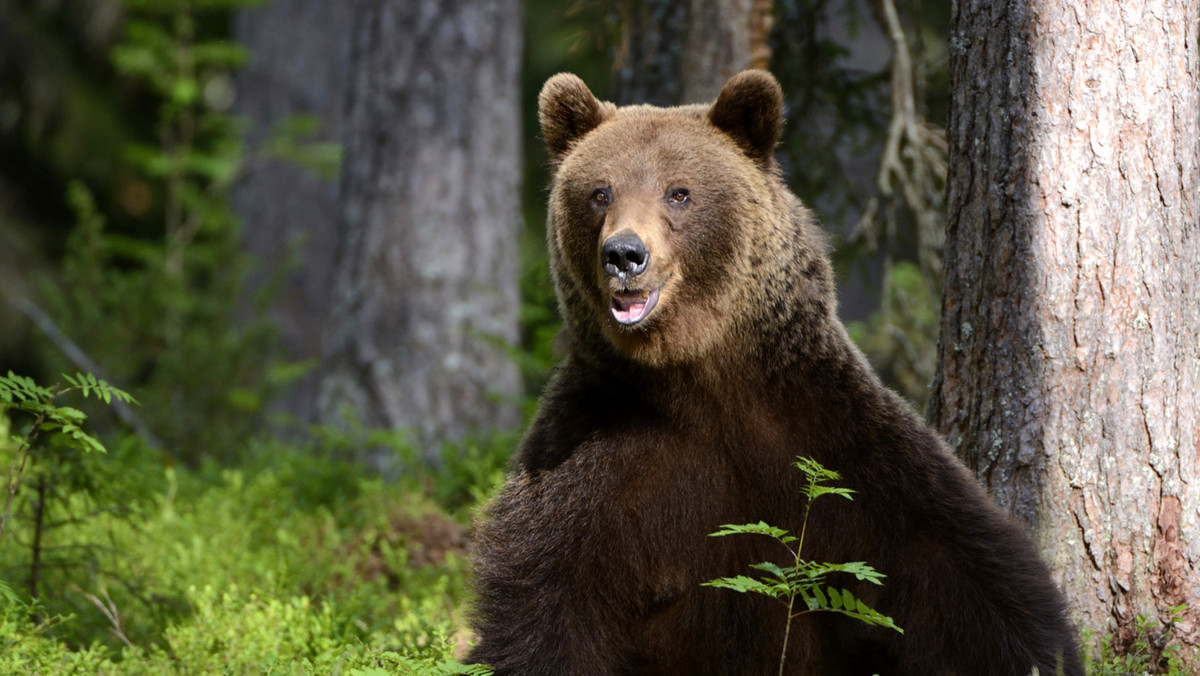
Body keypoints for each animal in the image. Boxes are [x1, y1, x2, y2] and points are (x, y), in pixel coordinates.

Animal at [465, 70, 1080, 676]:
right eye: (599, 192)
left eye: (679, 191)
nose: (623, 254)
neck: (696, 374)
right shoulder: (598, 451)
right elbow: (546, 600)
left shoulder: (830, 436)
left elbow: (961, 564)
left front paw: (1043, 652)